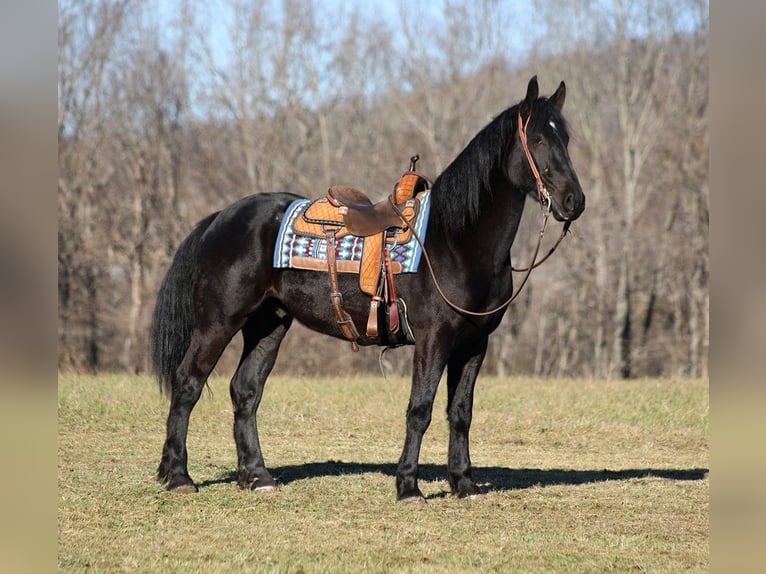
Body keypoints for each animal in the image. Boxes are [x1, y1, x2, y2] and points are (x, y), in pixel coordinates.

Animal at [153, 77, 592, 504]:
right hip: (219, 321)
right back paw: (179, 477)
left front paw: (464, 484)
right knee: (188, 383)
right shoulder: (433, 340)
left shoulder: (474, 344)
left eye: (566, 138)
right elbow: (420, 410)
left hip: (268, 324)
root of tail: (220, 218)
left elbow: (461, 413)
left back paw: (257, 476)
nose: (574, 201)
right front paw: (408, 486)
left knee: (245, 391)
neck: (456, 239)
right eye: (538, 139)